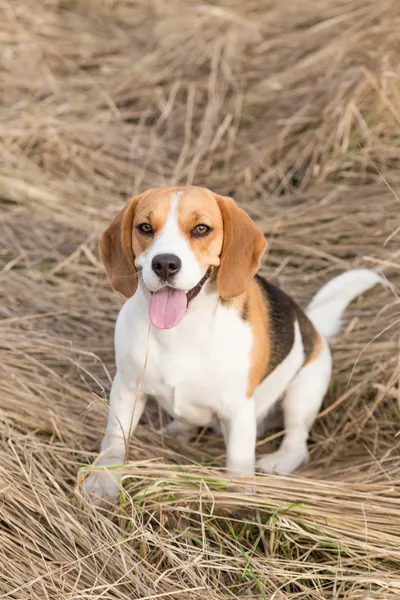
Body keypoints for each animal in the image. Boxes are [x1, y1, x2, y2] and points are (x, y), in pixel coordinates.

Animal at [84, 184, 382, 502]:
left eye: (201, 229)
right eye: (145, 227)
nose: (164, 263)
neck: (183, 329)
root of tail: (311, 324)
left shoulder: (238, 409)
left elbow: (239, 460)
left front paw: (239, 496)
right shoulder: (127, 388)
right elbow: (114, 439)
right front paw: (104, 479)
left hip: (304, 390)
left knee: (297, 440)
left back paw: (279, 461)